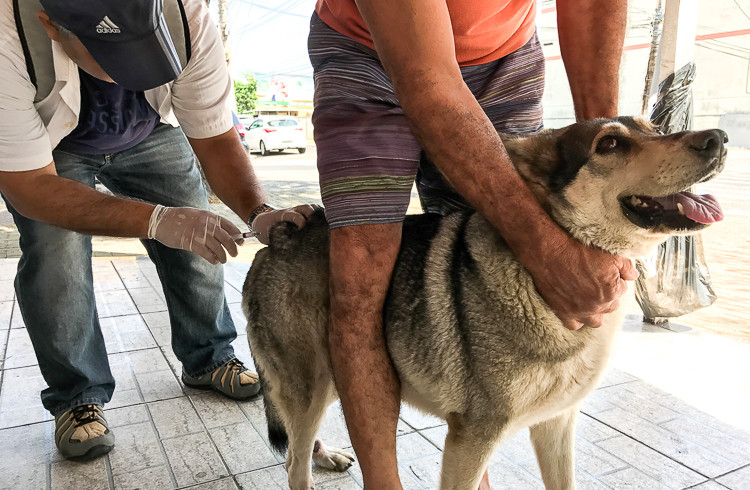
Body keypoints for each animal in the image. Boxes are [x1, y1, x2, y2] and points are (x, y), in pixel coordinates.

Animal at [242, 116, 728, 490]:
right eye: (609, 144)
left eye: (657, 129)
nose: (718, 138)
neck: (541, 283)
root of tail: (278, 236)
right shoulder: (472, 438)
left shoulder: (556, 425)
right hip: (314, 381)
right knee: (293, 463)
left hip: (325, 382)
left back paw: (327, 454)